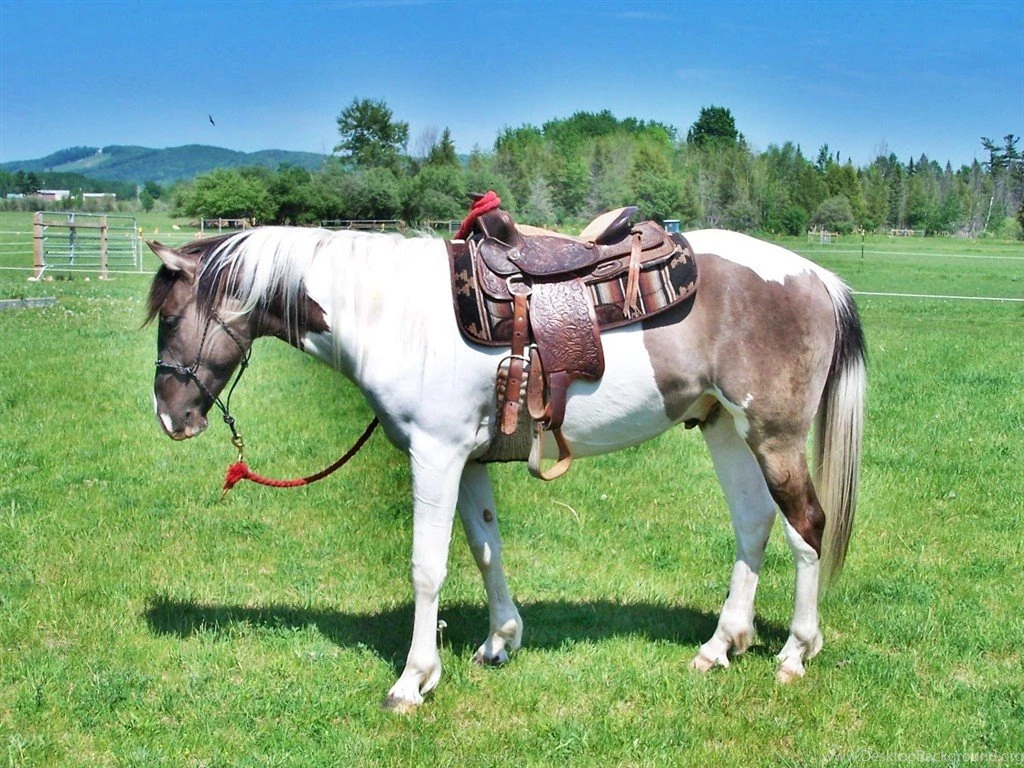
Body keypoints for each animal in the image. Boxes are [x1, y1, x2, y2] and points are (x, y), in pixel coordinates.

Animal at [145, 222, 865, 712]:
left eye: (172, 318)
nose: (170, 417)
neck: (394, 317)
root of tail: (817, 279)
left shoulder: (435, 455)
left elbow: (428, 567)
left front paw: (413, 680)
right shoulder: (467, 461)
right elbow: (485, 547)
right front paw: (501, 640)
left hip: (773, 436)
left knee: (806, 526)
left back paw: (795, 652)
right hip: (724, 428)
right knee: (753, 525)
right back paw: (720, 646)